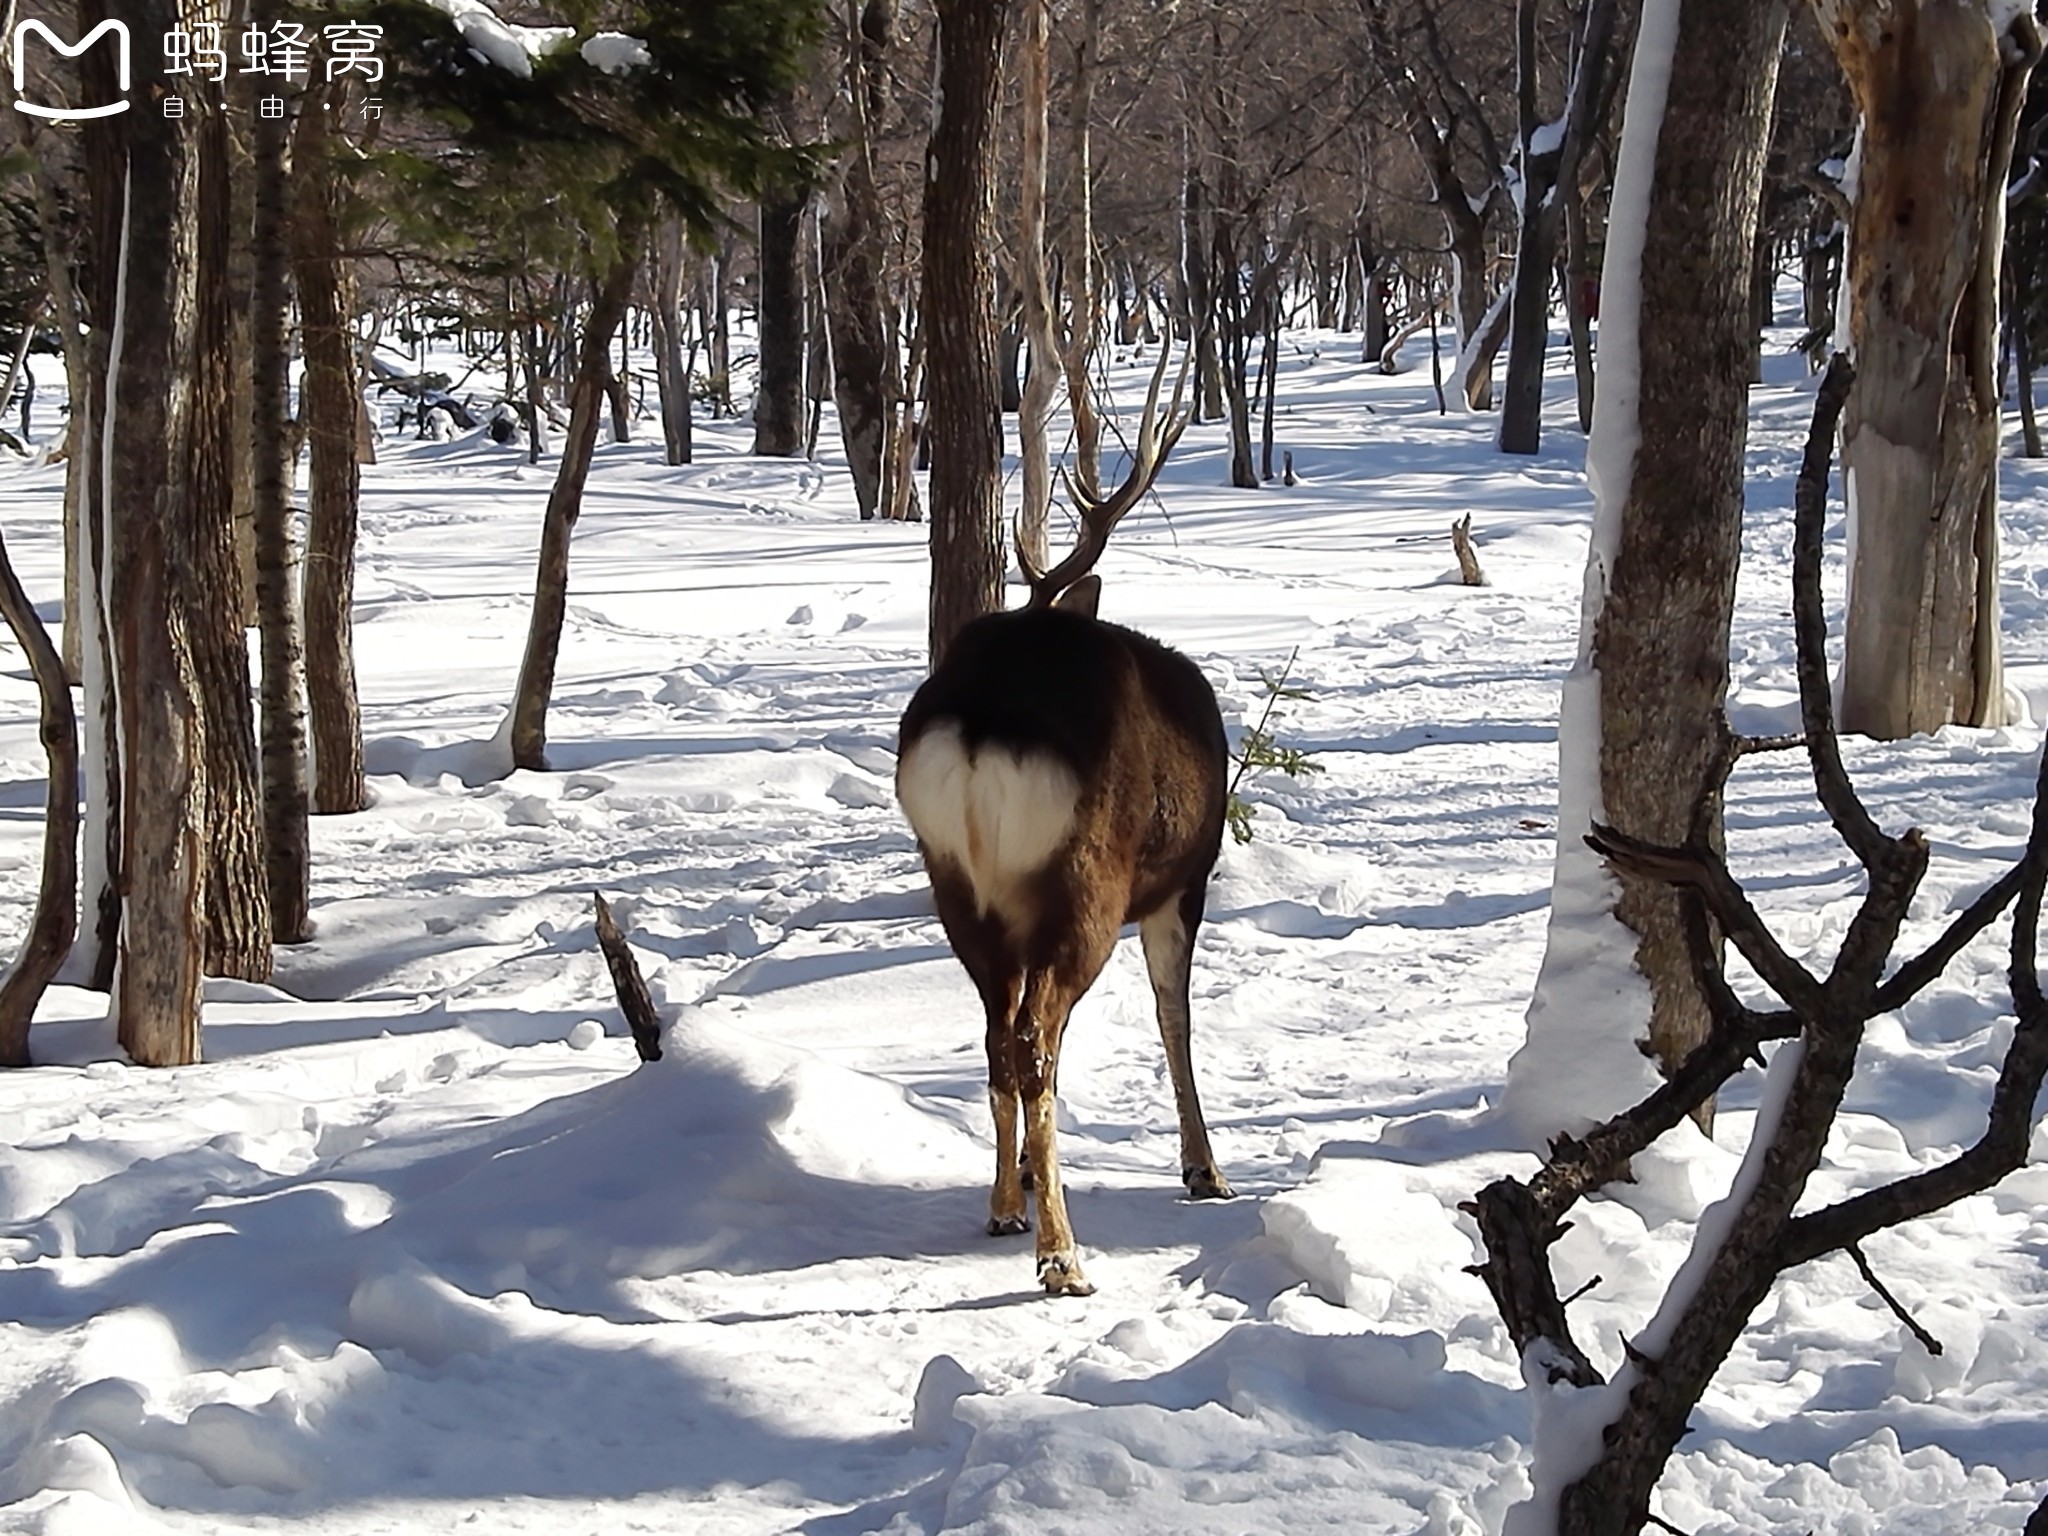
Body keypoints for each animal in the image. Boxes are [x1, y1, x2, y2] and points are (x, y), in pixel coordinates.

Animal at [897, 354, 1228, 1302]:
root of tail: (982, 720)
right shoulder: (1183, 882)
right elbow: (1174, 1017)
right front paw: (1206, 1168)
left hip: (957, 885)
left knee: (999, 1038)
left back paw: (1009, 1207)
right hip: (1085, 879)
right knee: (1034, 1039)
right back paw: (1063, 1255)